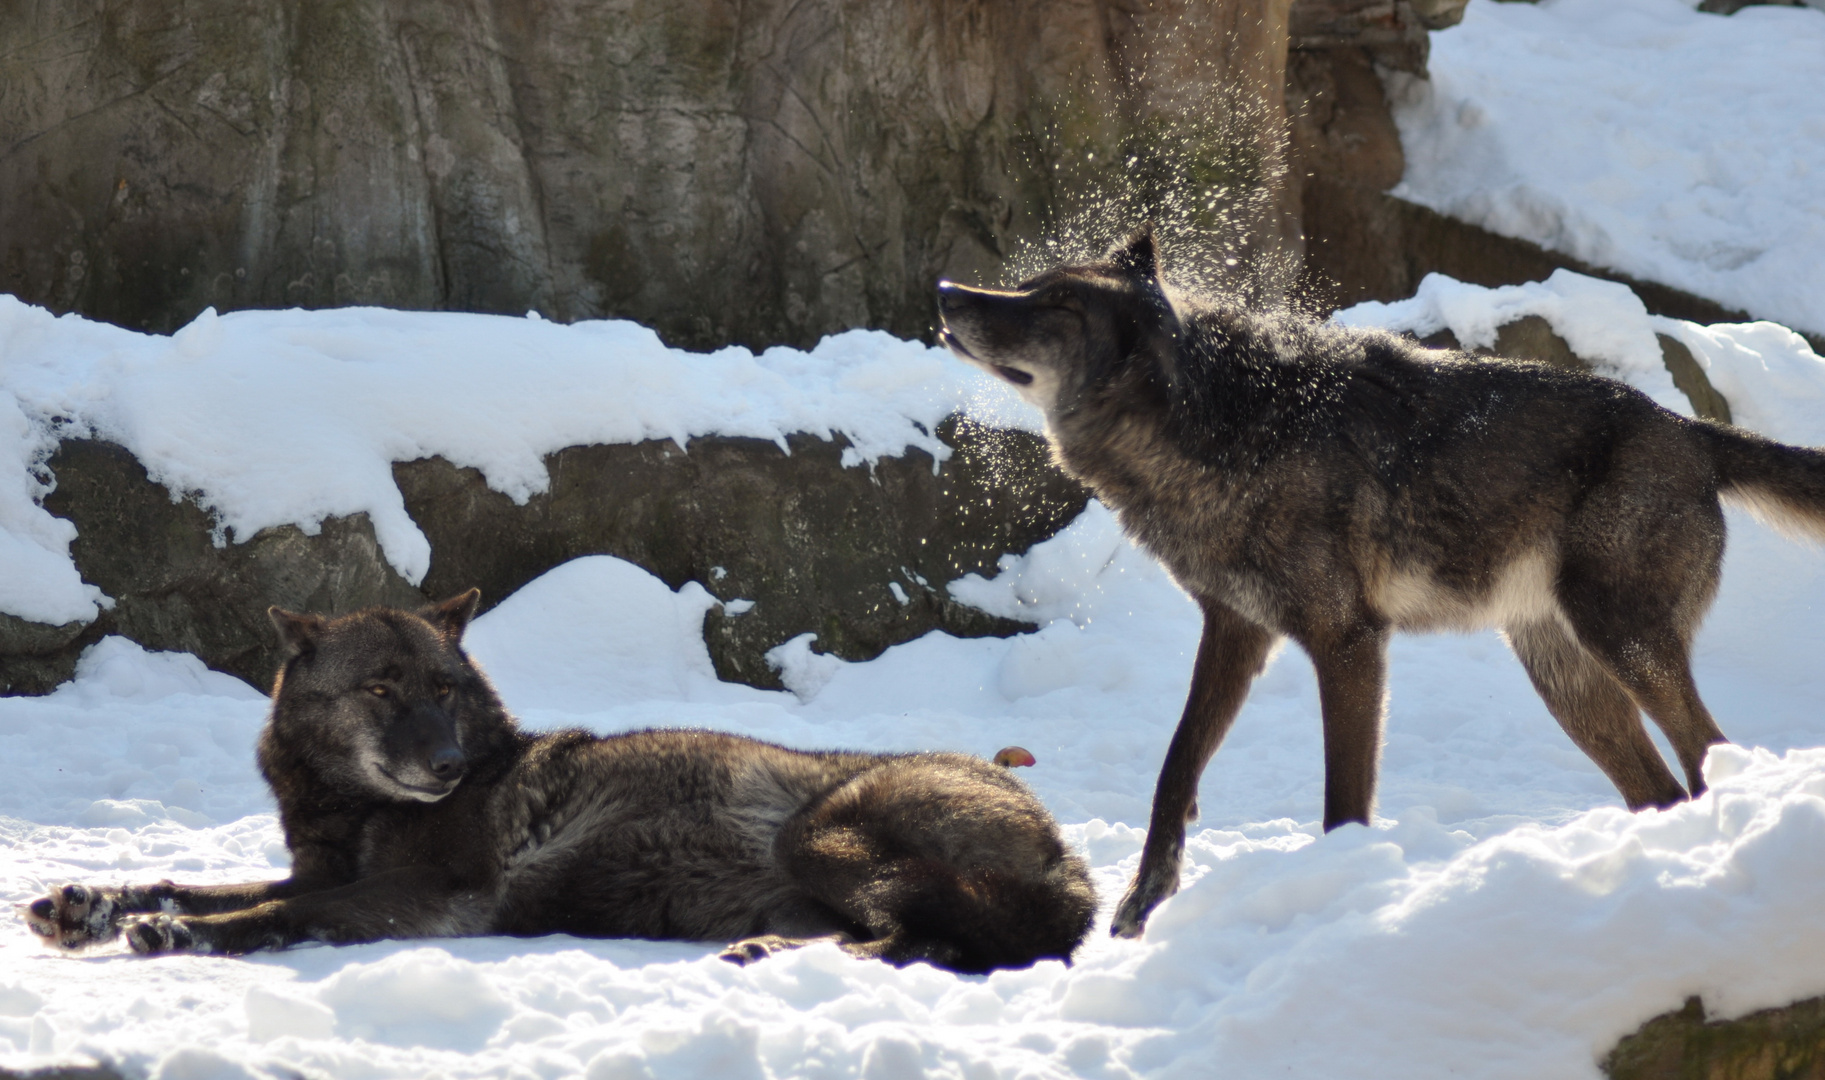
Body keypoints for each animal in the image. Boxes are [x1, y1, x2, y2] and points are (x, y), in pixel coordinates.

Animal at [17, 594, 1095, 977]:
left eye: (444, 689)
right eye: (381, 688)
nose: (448, 768)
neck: (350, 811)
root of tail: (1068, 854)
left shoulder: (430, 897)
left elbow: (263, 917)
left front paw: (172, 937)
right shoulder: (322, 874)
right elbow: (186, 878)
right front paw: (88, 903)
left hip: (820, 837)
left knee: (929, 943)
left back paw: (778, 955)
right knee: (922, 940)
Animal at [934, 229, 1825, 934]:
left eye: (1054, 302)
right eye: (1030, 284)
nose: (945, 291)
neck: (1220, 424)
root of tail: (1689, 429)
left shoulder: (1347, 643)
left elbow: (1342, 799)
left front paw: (1336, 897)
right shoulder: (1235, 632)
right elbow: (1174, 768)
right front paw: (1140, 905)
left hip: (1622, 644)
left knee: (1707, 751)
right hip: (1569, 684)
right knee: (1662, 785)